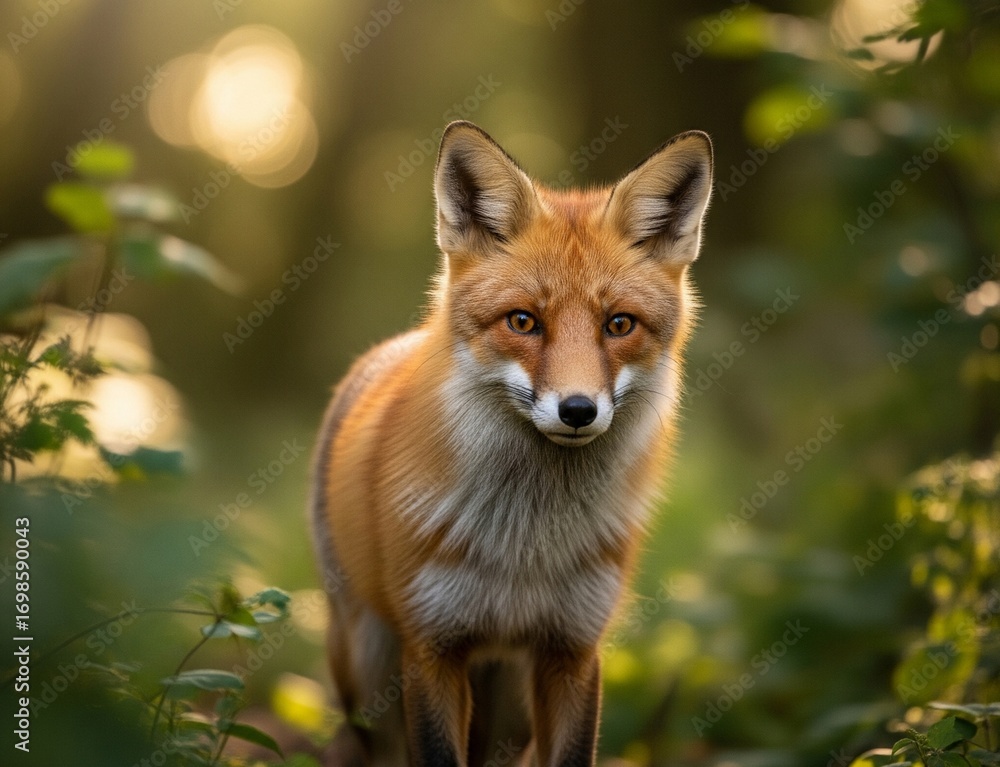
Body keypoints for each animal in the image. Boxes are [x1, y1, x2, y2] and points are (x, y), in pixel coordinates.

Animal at [310, 120, 713, 767]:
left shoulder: (573, 649)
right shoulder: (432, 648)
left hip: (511, 709)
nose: (578, 410)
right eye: (523, 321)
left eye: (619, 325)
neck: (524, 547)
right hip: (367, 675)